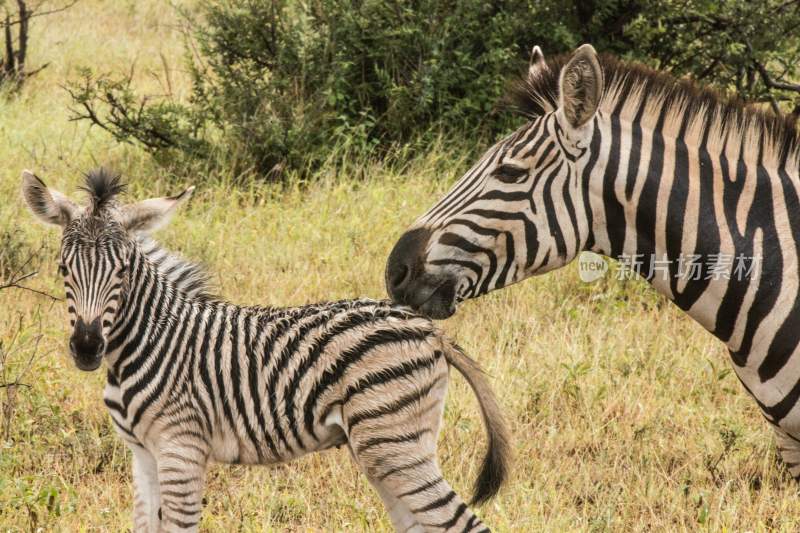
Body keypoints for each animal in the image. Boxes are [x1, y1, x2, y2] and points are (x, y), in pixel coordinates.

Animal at [21, 169, 510, 532]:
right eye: (63, 268)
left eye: (122, 270)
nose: (87, 348)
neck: (147, 340)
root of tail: (428, 329)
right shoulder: (142, 454)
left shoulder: (181, 447)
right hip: (388, 448)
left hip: (395, 442)